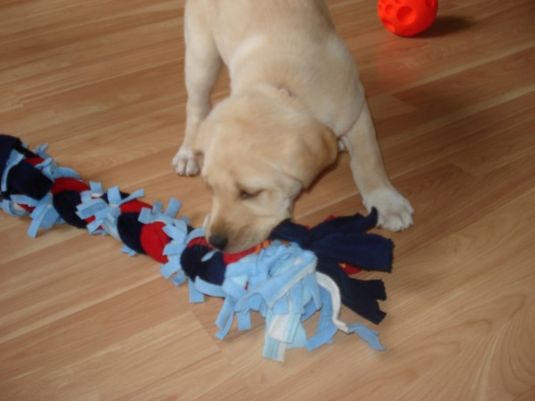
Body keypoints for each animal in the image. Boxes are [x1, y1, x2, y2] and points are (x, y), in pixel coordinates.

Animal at [173, 0, 414, 250]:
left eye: (249, 193)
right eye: (211, 188)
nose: (215, 242)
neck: (283, 89)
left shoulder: (356, 109)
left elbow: (369, 161)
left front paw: (386, 201)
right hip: (201, 54)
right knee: (196, 106)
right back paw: (188, 152)